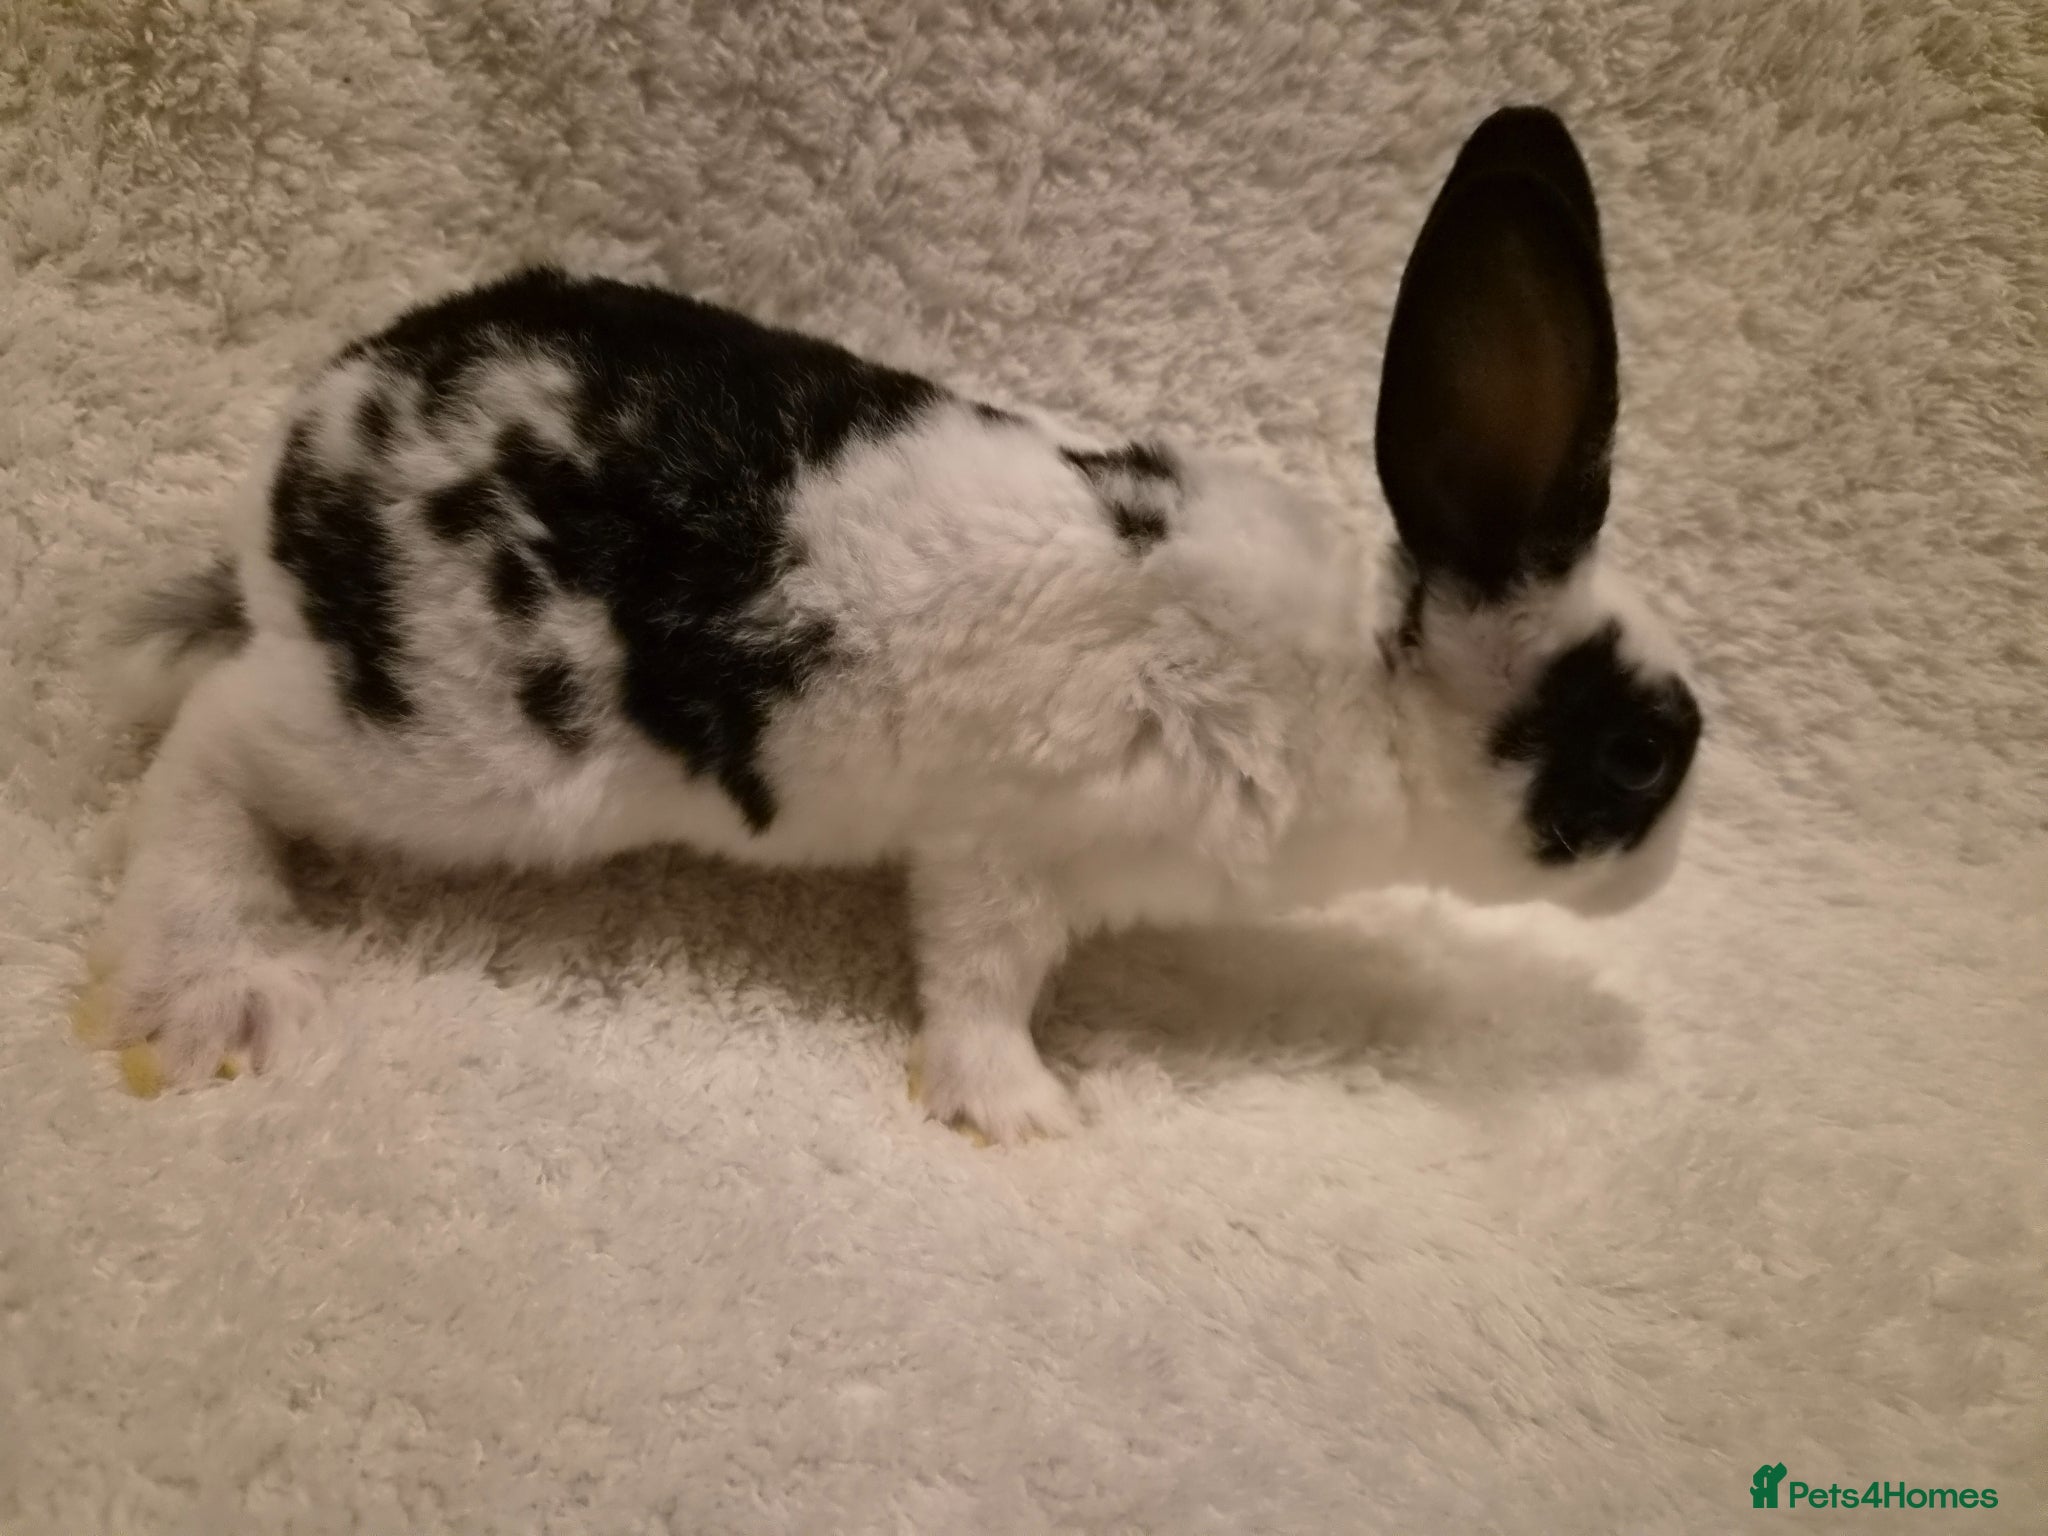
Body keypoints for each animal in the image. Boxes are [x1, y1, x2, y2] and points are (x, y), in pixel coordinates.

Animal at [95, 105, 1701, 1142]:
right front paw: (1029, 1114)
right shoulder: (1009, 842)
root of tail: (303, 453)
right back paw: (219, 993)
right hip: (465, 754)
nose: (1666, 870)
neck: (1353, 691)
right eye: (1641, 753)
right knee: (210, 742)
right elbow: (983, 979)